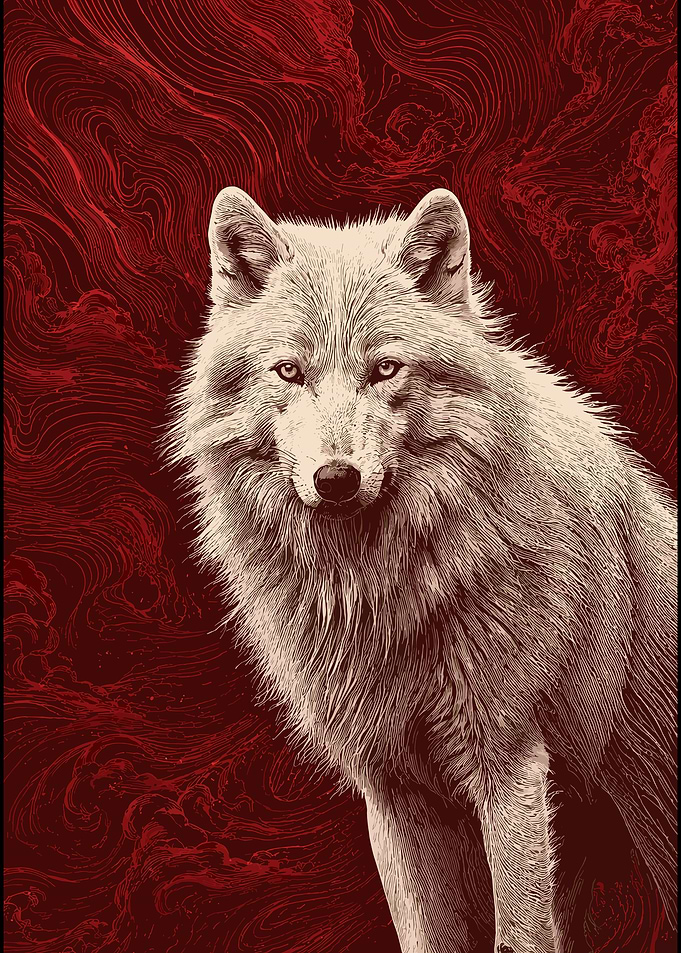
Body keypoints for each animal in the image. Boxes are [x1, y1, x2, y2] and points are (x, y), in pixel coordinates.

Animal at [166, 186, 678, 953]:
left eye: (385, 369)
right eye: (289, 371)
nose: (336, 478)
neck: (382, 592)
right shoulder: (393, 791)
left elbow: (519, 933)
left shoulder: (510, 767)